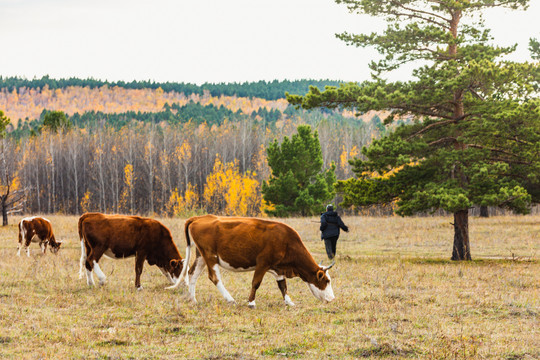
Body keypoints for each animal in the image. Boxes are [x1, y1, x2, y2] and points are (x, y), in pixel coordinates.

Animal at [167, 215, 336, 308]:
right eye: (326, 281)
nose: (332, 299)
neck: (286, 241)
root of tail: (199, 218)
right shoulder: (262, 263)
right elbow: (256, 283)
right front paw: (251, 303)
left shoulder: (278, 268)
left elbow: (283, 286)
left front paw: (289, 302)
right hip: (210, 256)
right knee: (214, 278)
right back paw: (230, 299)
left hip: (201, 255)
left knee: (192, 274)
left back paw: (193, 299)